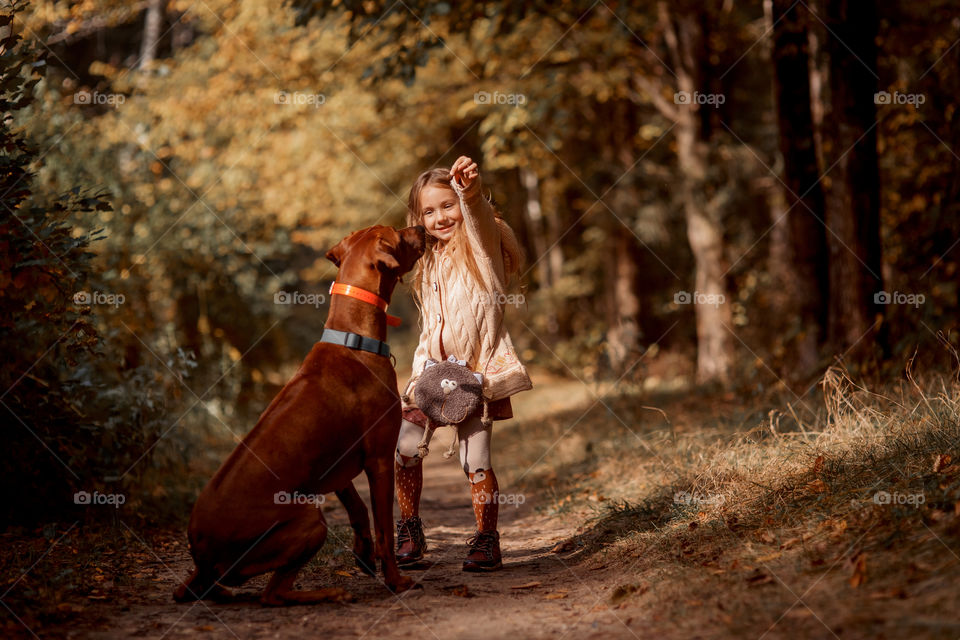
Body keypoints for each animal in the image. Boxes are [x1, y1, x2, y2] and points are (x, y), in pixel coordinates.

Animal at [173, 225, 428, 604]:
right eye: (398, 233)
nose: (423, 228)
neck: (353, 340)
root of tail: (201, 555)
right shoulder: (380, 459)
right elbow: (383, 530)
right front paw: (395, 581)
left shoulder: (333, 466)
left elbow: (357, 509)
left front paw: (363, 553)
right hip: (311, 521)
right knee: (272, 594)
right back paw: (332, 591)